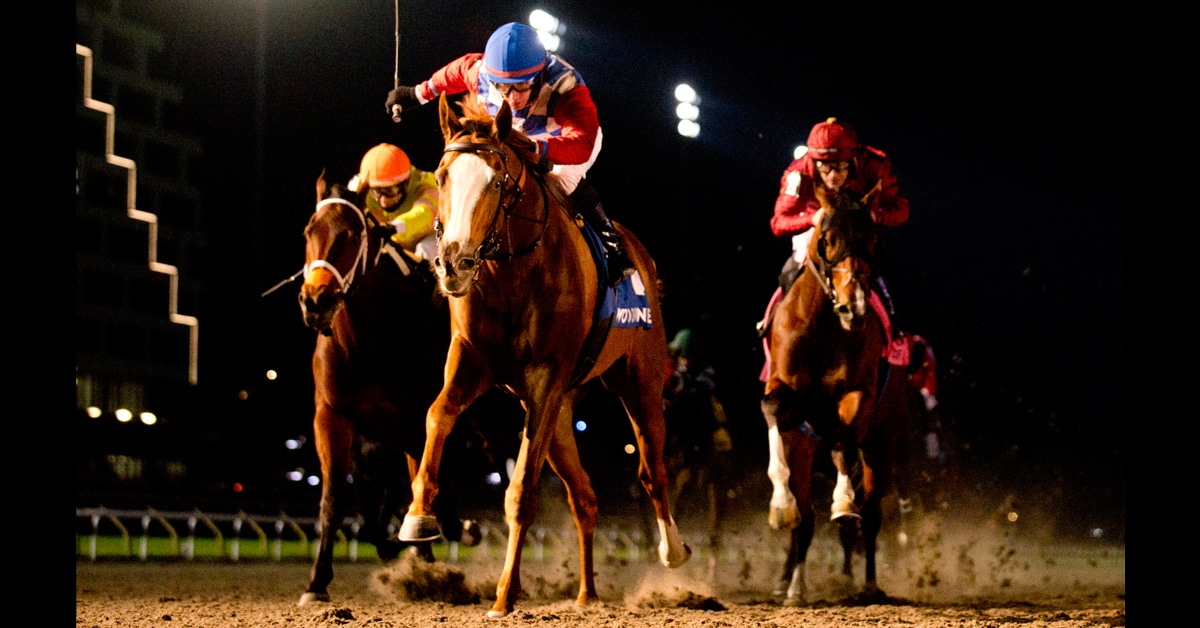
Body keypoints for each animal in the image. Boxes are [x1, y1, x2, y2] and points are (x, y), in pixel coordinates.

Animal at [295, 175, 486, 606]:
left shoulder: (414, 419)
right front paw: (316, 583)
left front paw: (448, 533)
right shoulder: (331, 416)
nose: (316, 301)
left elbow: (425, 481)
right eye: (309, 231)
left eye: (351, 235)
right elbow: (335, 499)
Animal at [397, 93, 691, 617]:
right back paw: (587, 593)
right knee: (585, 495)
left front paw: (503, 594)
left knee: (652, 471)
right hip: (560, 416)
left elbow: (521, 493)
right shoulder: (471, 361)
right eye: (443, 175)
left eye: (497, 181)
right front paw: (417, 517)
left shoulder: (546, 380)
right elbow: (437, 415)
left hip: (639, 382)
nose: (453, 262)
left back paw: (672, 550)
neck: (511, 272)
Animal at [759, 191, 907, 605]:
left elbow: (844, 447)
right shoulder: (791, 407)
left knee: (871, 514)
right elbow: (773, 409)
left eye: (873, 239)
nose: (853, 306)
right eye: (828, 238)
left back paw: (868, 585)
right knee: (808, 519)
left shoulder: (856, 395)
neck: (825, 326)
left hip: (882, 443)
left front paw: (842, 501)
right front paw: (781, 506)